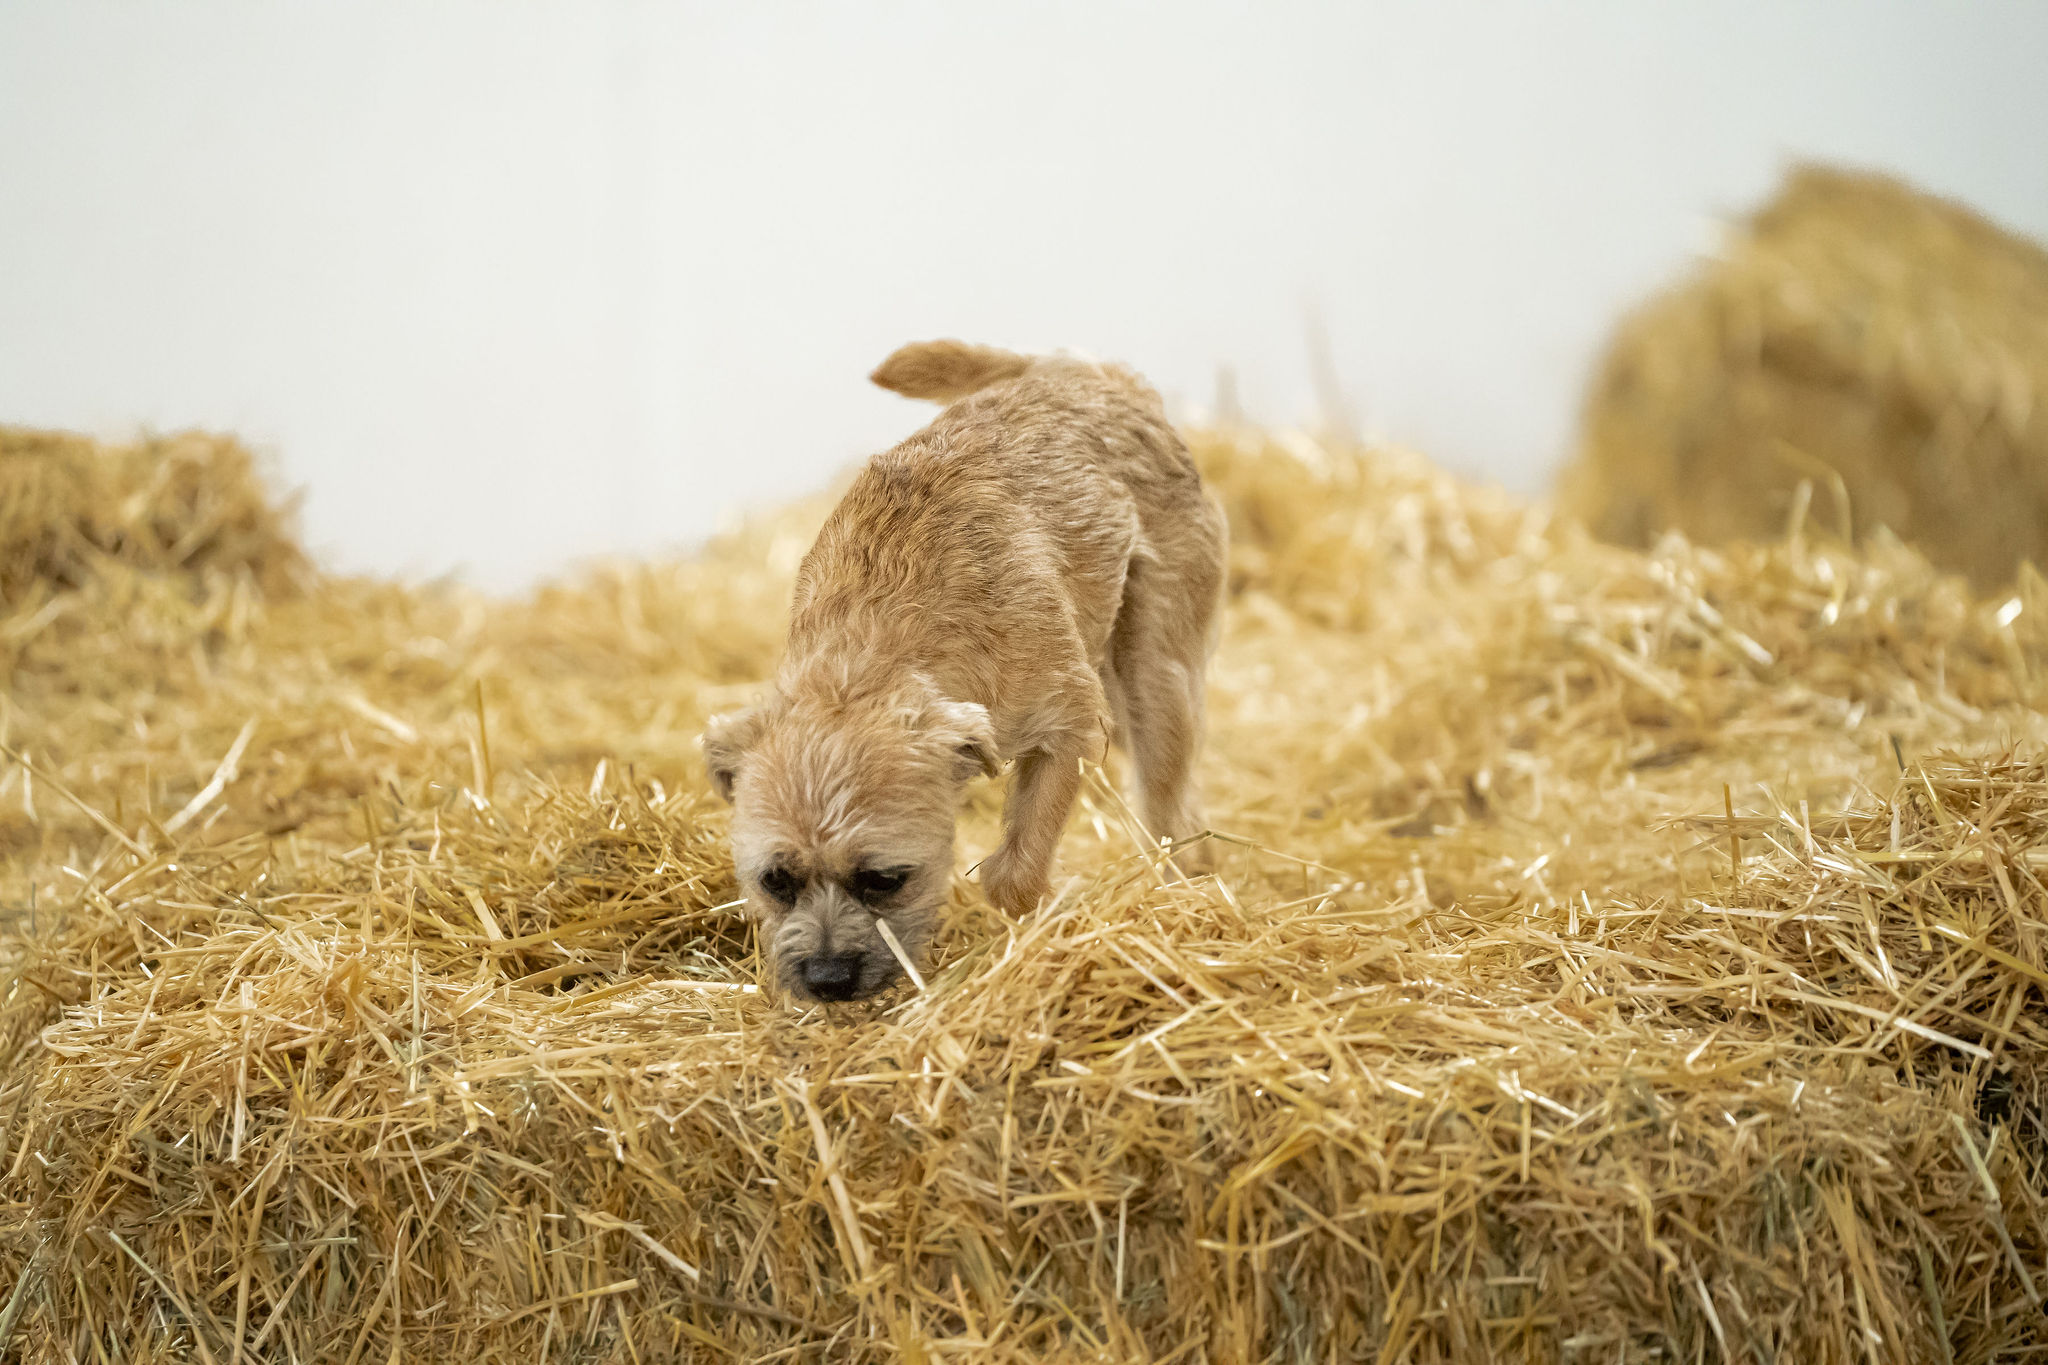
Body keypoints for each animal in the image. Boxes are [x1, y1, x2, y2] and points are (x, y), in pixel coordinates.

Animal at [702, 340, 1226, 1002]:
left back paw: (1176, 887)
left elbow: (1014, 874)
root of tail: (1086, 373)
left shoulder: (1070, 726)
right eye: (775, 880)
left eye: (885, 879)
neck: (862, 659)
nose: (826, 979)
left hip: (1156, 675)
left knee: (1165, 799)